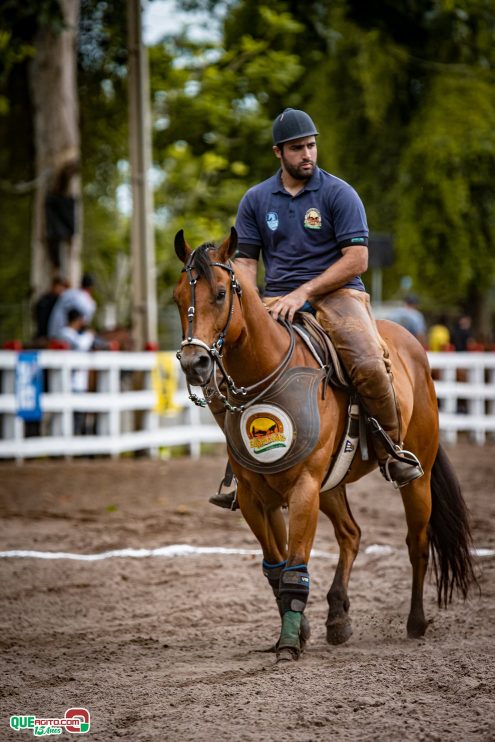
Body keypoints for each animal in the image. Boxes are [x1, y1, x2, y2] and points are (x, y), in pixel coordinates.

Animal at [173, 228, 476, 664]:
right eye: (178, 297)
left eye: (219, 293)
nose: (193, 362)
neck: (270, 373)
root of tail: (412, 346)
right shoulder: (255, 496)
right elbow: (276, 566)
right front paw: (299, 631)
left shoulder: (303, 488)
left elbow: (295, 566)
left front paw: (288, 645)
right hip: (332, 485)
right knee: (351, 534)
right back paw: (337, 616)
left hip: (416, 479)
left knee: (416, 544)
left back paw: (416, 622)